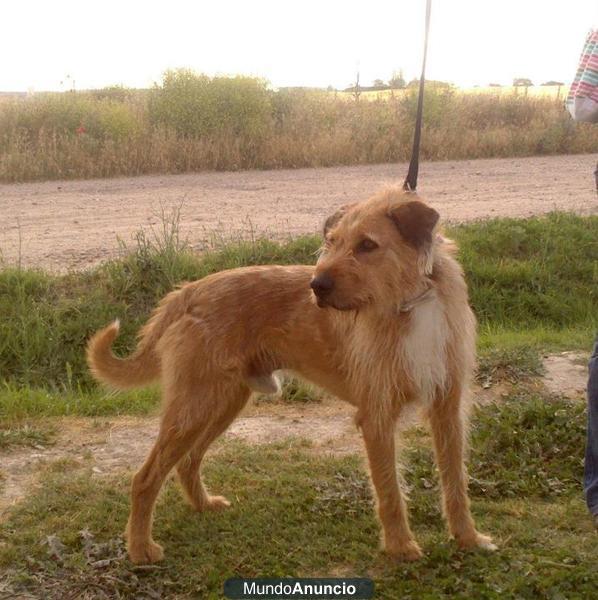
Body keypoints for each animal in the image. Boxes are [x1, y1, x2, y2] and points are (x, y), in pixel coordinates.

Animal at [85, 188, 496, 564]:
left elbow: (456, 483)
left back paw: (202, 505)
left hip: (223, 403)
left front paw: (468, 538)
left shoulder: (448, 409)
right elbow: (390, 491)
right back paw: (140, 549)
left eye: (367, 244)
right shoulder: (377, 415)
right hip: (193, 407)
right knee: (145, 478)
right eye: (332, 242)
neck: (412, 302)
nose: (317, 286)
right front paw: (400, 547)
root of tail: (188, 291)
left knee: (188, 461)